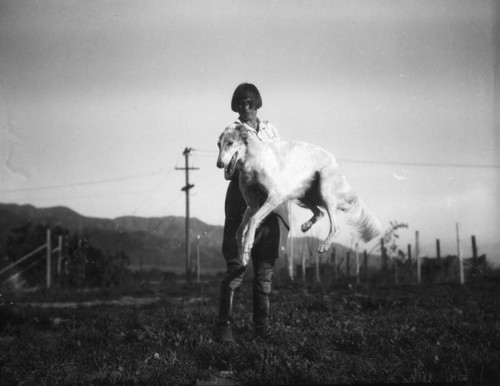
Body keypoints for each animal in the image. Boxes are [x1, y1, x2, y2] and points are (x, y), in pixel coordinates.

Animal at [217, 123, 380, 266]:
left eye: (230, 143)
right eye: (219, 144)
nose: (219, 164)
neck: (253, 159)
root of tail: (335, 162)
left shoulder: (275, 197)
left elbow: (253, 220)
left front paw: (248, 245)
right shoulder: (252, 205)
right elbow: (239, 231)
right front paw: (243, 256)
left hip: (325, 192)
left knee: (335, 226)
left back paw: (324, 245)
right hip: (303, 194)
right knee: (319, 213)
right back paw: (307, 225)